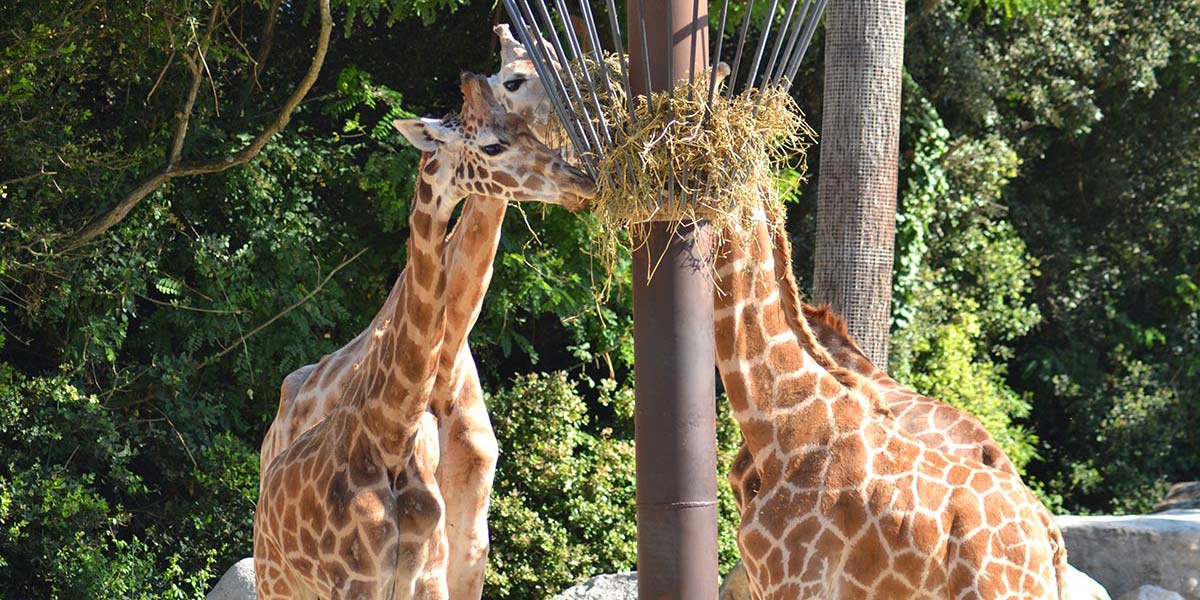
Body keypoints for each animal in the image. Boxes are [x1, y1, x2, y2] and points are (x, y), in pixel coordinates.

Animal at [254, 73, 595, 600]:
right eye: (493, 145)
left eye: (524, 128)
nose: (583, 182)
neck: (390, 436)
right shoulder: (357, 582)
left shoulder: (431, 572)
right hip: (276, 581)